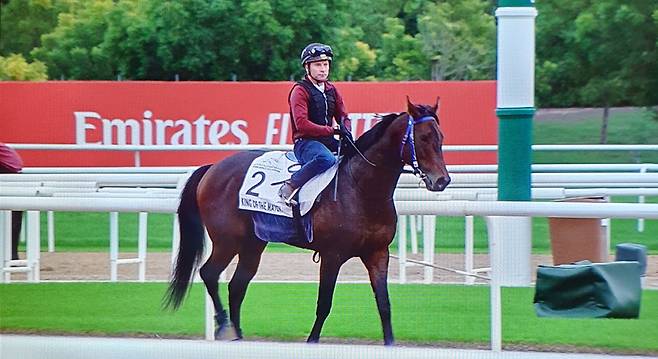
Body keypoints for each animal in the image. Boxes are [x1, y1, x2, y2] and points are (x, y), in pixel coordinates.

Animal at [164, 96, 452, 346]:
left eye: (440, 137)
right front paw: (312, 341)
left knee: (237, 285)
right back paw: (224, 325)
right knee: (210, 273)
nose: (442, 180)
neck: (361, 189)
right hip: (227, 240)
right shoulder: (333, 255)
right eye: (423, 137)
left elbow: (384, 304)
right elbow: (324, 304)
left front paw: (390, 342)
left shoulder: (377, 253)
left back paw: (239, 334)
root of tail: (212, 168)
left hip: (253, 243)